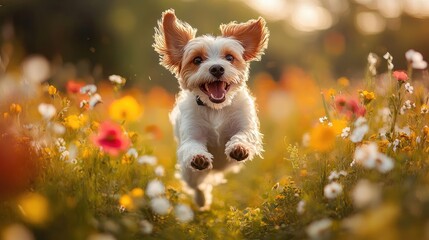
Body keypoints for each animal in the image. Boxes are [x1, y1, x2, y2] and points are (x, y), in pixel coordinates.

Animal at [153, 8, 268, 208]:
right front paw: (198, 157)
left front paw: (238, 147)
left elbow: (243, 135)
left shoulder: (246, 125)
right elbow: (192, 146)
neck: (216, 108)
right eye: (197, 60)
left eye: (229, 57)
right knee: (198, 185)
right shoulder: (191, 135)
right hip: (189, 174)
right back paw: (202, 200)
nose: (216, 68)